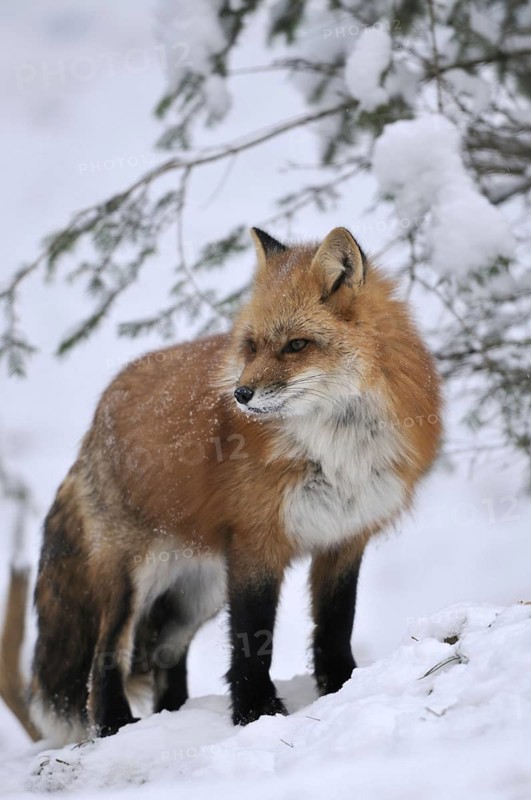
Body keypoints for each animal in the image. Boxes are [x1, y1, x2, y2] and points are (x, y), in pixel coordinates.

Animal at [2, 226, 441, 745]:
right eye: (250, 345)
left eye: (296, 345)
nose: (241, 395)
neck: (336, 447)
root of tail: (99, 416)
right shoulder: (256, 542)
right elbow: (252, 639)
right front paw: (255, 712)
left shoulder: (345, 536)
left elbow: (335, 626)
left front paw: (342, 686)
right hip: (134, 577)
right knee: (106, 654)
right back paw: (115, 726)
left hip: (199, 592)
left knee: (166, 658)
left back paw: (171, 716)